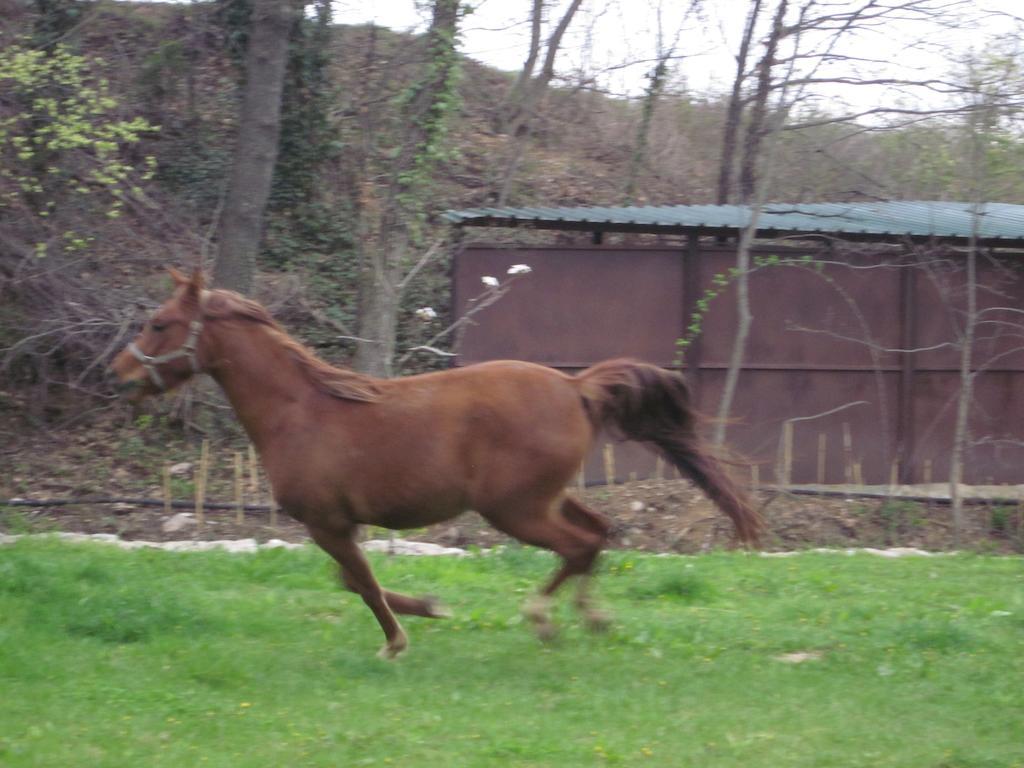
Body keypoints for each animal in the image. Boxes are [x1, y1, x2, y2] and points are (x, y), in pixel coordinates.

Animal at [114, 270, 761, 663]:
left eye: (159, 323)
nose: (117, 374)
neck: (302, 410)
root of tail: (575, 387)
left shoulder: (327, 523)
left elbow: (362, 583)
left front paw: (398, 640)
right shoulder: (338, 525)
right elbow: (355, 581)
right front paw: (427, 608)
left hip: (516, 510)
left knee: (579, 546)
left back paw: (544, 619)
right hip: (546, 499)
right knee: (599, 536)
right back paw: (591, 618)